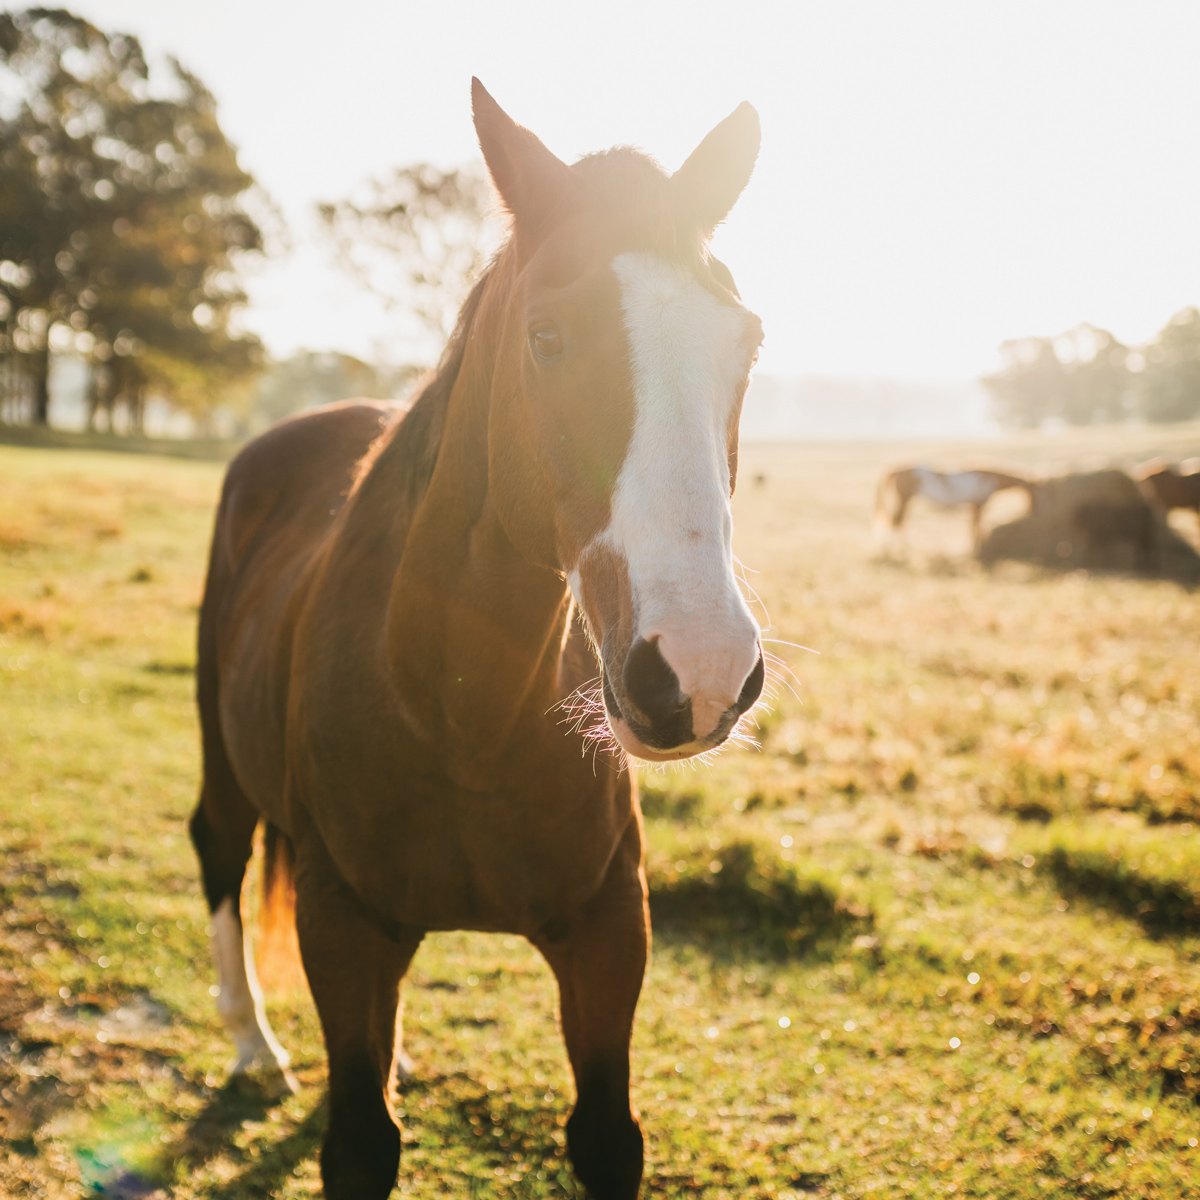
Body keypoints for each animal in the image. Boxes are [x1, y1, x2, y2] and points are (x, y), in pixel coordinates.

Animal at [192, 77, 763, 1200]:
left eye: (747, 340)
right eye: (546, 336)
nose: (701, 670)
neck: (457, 714)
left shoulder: (607, 931)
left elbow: (606, 1135)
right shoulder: (342, 923)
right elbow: (360, 1140)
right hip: (224, 760)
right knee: (218, 848)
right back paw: (253, 1044)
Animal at [878, 463, 1036, 549]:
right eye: (1032, 493)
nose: (1030, 510)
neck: (989, 478)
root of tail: (899, 469)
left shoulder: (973, 506)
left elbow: (974, 528)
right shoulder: (978, 505)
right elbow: (976, 527)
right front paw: (974, 548)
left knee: (899, 521)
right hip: (904, 499)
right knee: (897, 521)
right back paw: (898, 549)